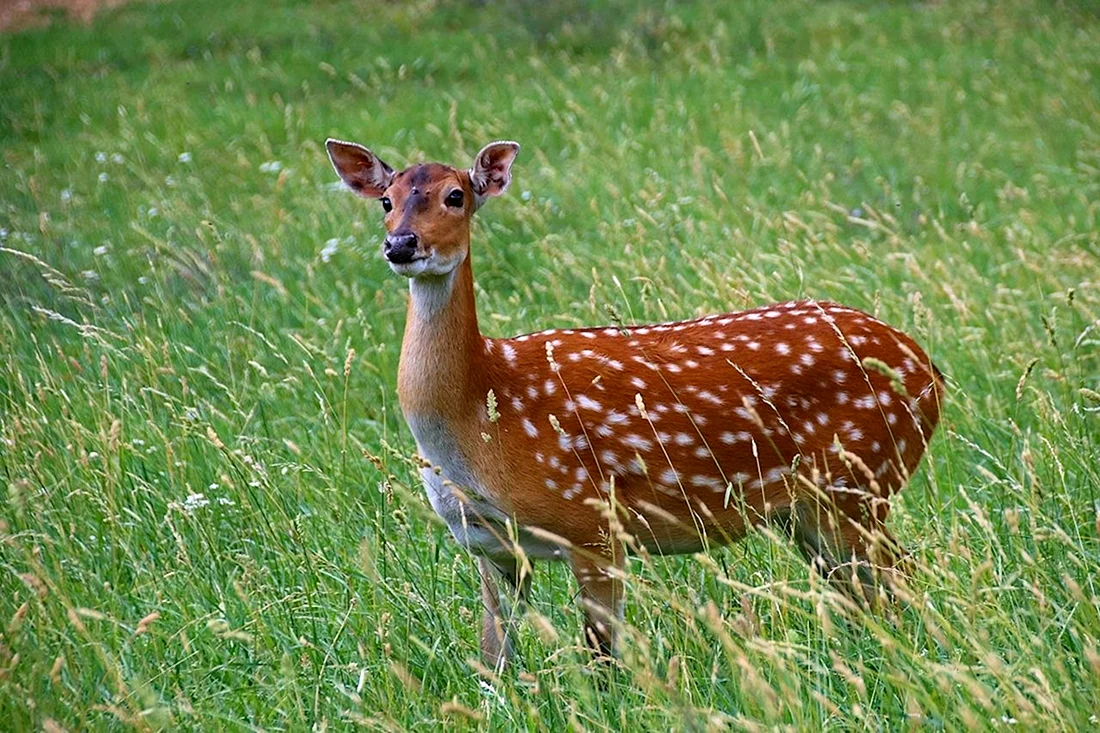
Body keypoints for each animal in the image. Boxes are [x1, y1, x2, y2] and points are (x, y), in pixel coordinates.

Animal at [325, 137, 944, 669]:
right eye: (386, 200)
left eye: (456, 195)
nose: (401, 244)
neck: (481, 410)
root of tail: (929, 370)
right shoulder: (488, 545)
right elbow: (493, 658)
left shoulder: (591, 520)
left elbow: (603, 657)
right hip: (810, 511)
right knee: (870, 594)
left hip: (859, 479)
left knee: (905, 579)